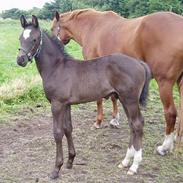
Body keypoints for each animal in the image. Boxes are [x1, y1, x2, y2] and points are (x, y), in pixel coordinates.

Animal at [16, 15, 152, 179]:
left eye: (34, 39)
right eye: (20, 38)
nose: (20, 60)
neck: (56, 67)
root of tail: (139, 63)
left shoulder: (56, 104)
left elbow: (57, 133)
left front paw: (56, 169)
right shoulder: (66, 104)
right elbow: (68, 129)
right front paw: (70, 161)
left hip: (130, 100)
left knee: (137, 124)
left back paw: (134, 166)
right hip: (124, 100)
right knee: (133, 125)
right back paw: (125, 162)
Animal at [51, 8, 183, 154]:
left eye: (52, 28)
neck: (92, 26)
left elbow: (99, 100)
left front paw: (98, 122)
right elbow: (114, 98)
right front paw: (115, 119)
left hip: (165, 83)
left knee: (171, 112)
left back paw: (165, 146)